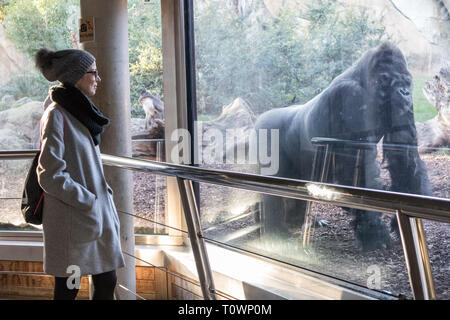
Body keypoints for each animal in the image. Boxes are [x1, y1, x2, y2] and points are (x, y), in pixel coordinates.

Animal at [255, 42, 430, 251]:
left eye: (406, 82)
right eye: (391, 81)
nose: (404, 92)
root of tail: (259, 118)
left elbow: (403, 154)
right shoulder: (350, 95)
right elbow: (358, 167)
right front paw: (374, 235)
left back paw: (298, 220)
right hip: (267, 131)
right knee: (272, 188)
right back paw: (276, 233)